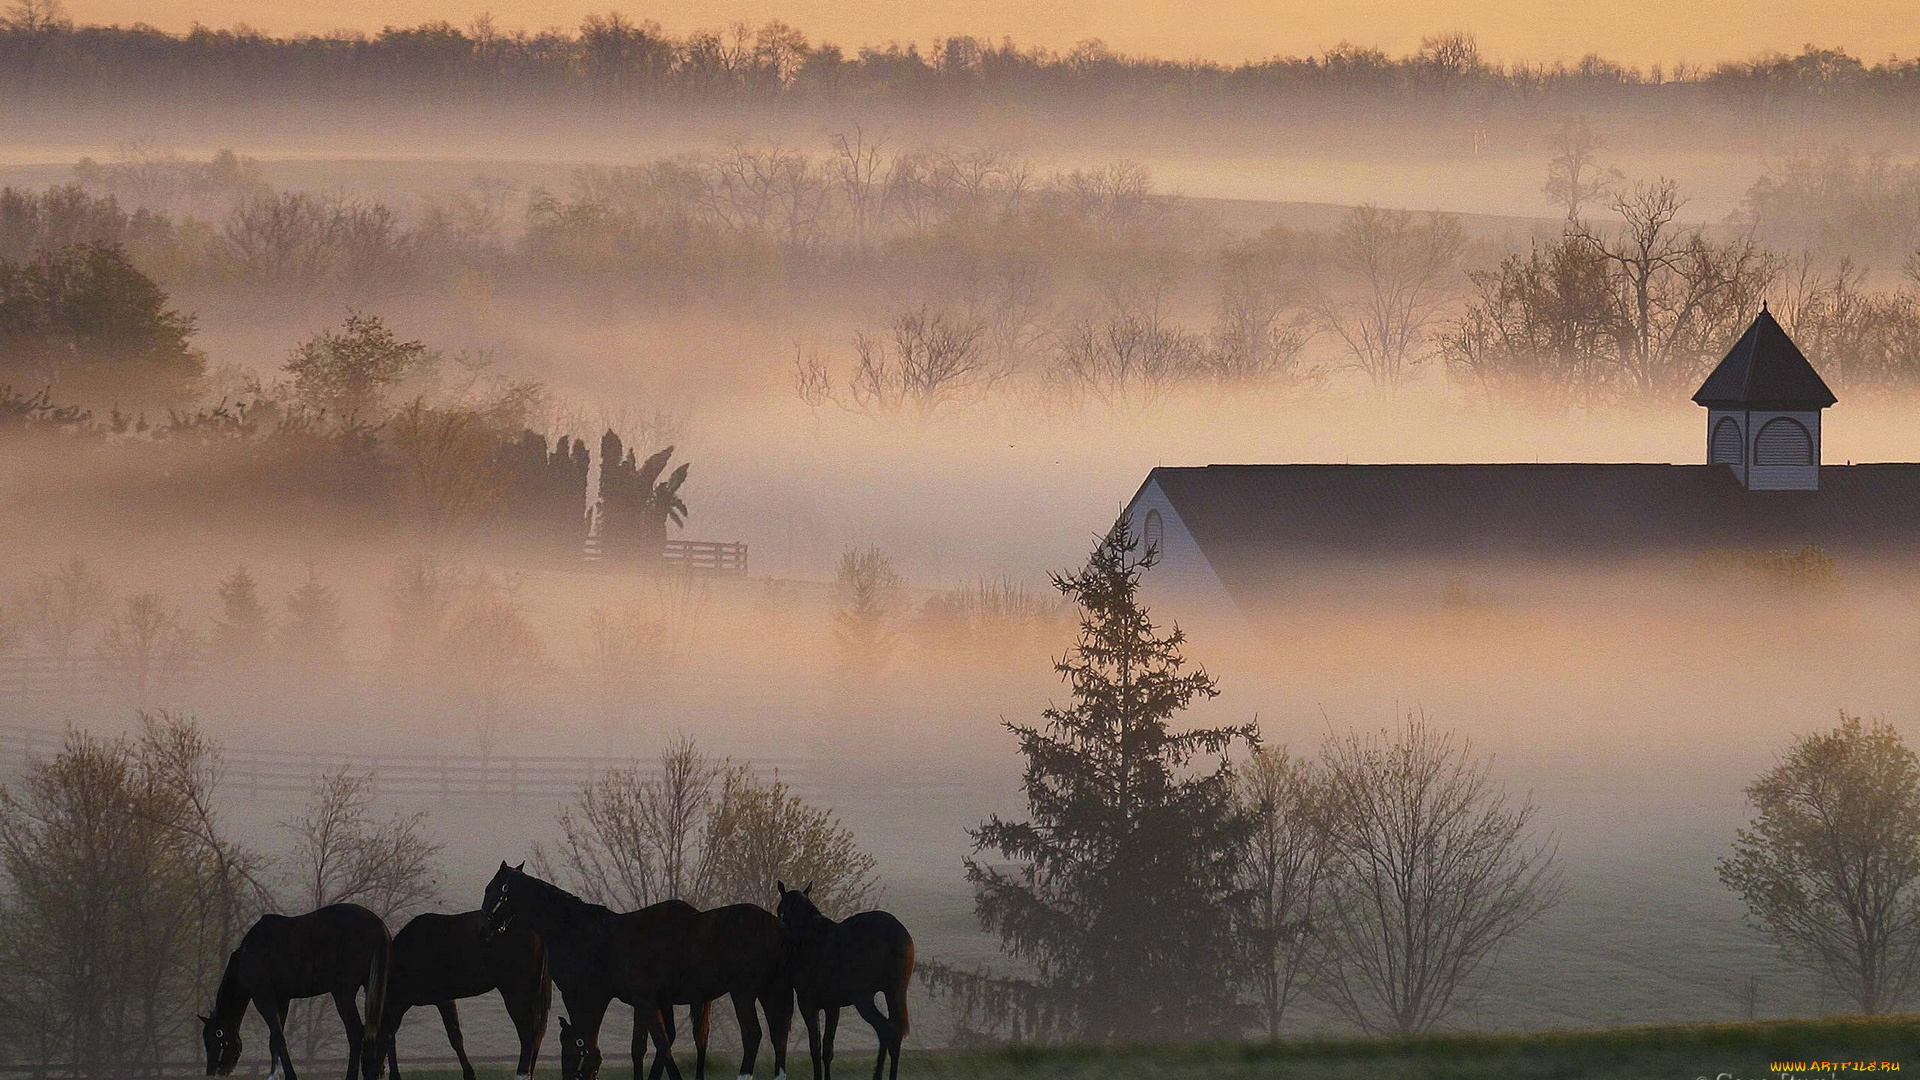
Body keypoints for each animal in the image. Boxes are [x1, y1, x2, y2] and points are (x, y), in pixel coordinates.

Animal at [200, 899, 391, 1076]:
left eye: (213, 1039)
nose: (212, 1072)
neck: (247, 956)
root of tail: (377, 924)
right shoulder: (282, 999)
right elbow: (273, 1042)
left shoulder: (263, 1000)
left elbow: (278, 1039)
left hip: (343, 994)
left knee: (355, 1033)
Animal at [374, 907, 552, 1076]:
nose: (377, 1071)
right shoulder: (445, 1000)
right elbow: (456, 1036)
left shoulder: (410, 1002)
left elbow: (390, 1035)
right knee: (536, 1037)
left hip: (515, 994)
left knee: (528, 1036)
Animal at [768, 880, 910, 1076]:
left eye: (780, 910)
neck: (810, 936)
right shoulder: (832, 1007)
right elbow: (828, 1050)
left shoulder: (808, 1005)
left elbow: (815, 1048)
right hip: (894, 993)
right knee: (893, 1032)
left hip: (864, 999)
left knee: (887, 1030)